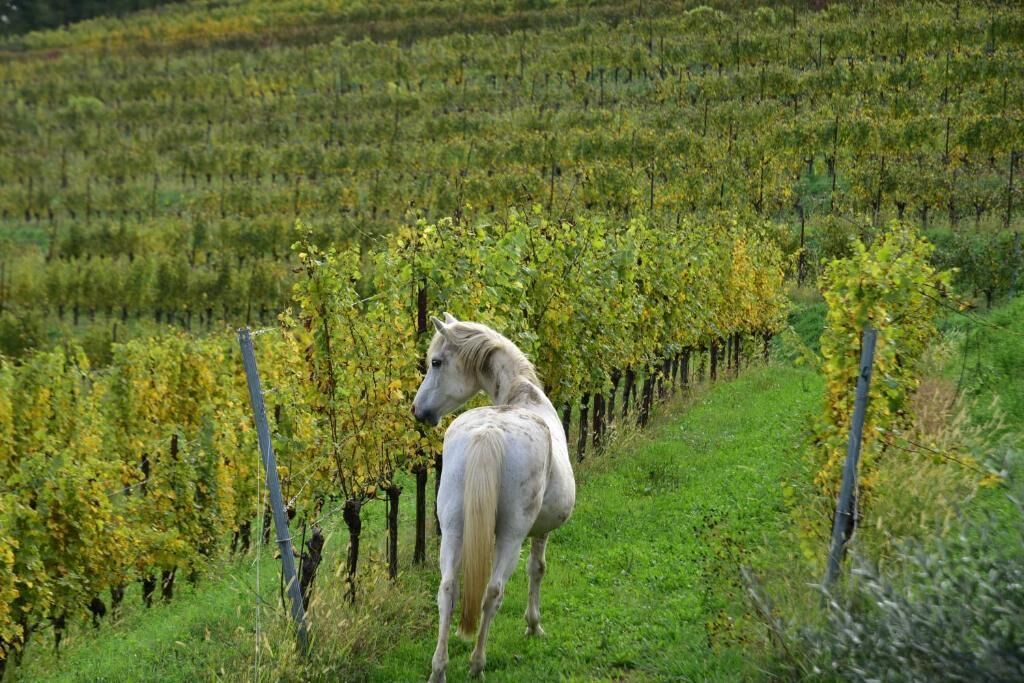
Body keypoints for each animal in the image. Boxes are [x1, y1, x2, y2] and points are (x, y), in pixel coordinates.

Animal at [412, 313, 576, 682]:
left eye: (436, 362)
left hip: (454, 530)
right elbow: (537, 569)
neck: (522, 393)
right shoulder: (540, 532)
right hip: (511, 537)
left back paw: (438, 669)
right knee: (492, 591)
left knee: (448, 590)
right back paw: (477, 663)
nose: (417, 410)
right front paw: (533, 626)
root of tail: (489, 433)